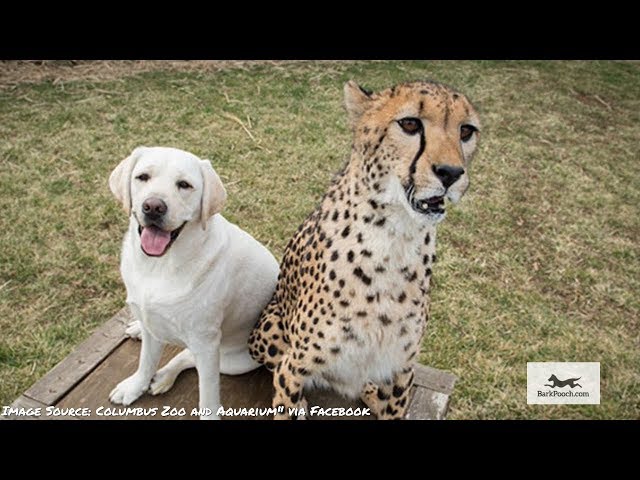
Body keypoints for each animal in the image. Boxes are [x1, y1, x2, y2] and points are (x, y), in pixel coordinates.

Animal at [108, 147, 278, 420]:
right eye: (143, 177)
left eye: (184, 185)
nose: (153, 207)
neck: (158, 267)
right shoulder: (150, 320)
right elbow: (146, 362)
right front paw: (135, 386)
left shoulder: (206, 343)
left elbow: (207, 394)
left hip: (235, 361)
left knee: (188, 356)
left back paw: (165, 375)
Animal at [249, 80, 480, 418]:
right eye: (410, 124)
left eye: (466, 131)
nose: (451, 173)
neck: (396, 237)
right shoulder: (293, 367)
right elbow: (285, 394)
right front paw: (297, 403)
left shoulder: (401, 369)